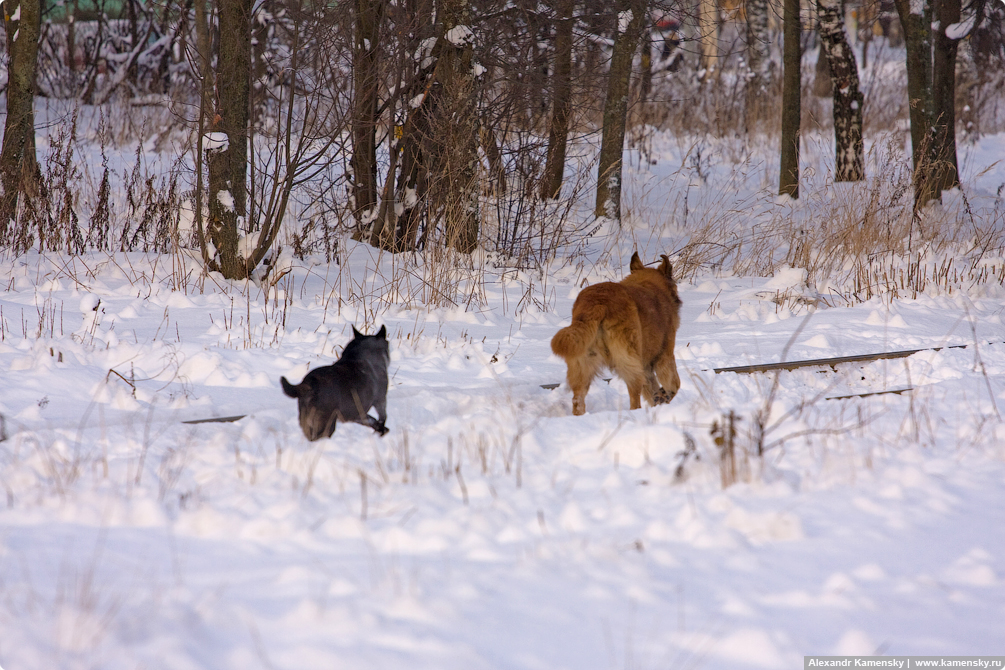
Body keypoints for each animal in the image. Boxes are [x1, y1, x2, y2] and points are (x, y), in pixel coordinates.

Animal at [550, 253, 683, 413]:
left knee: (578, 400)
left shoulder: (645, 364)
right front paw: (664, 397)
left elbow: (652, 389)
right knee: (634, 396)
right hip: (628, 358)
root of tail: (598, 302)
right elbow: (674, 384)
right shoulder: (665, 355)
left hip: (583, 362)